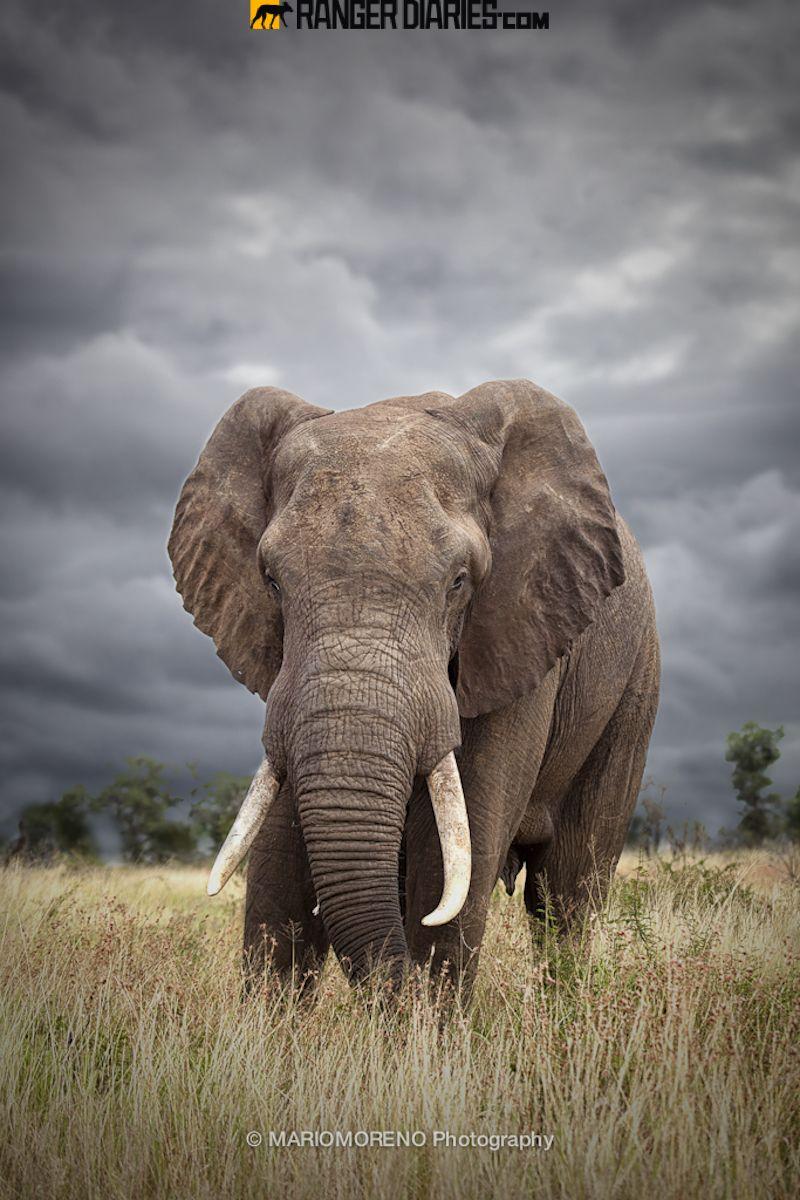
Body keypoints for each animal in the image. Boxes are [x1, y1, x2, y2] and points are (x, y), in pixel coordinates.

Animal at [168, 378, 660, 999]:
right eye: (272, 582)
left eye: (459, 583)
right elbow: (277, 864)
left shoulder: (518, 633)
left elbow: (456, 849)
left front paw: (425, 1016)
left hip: (635, 682)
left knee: (566, 893)